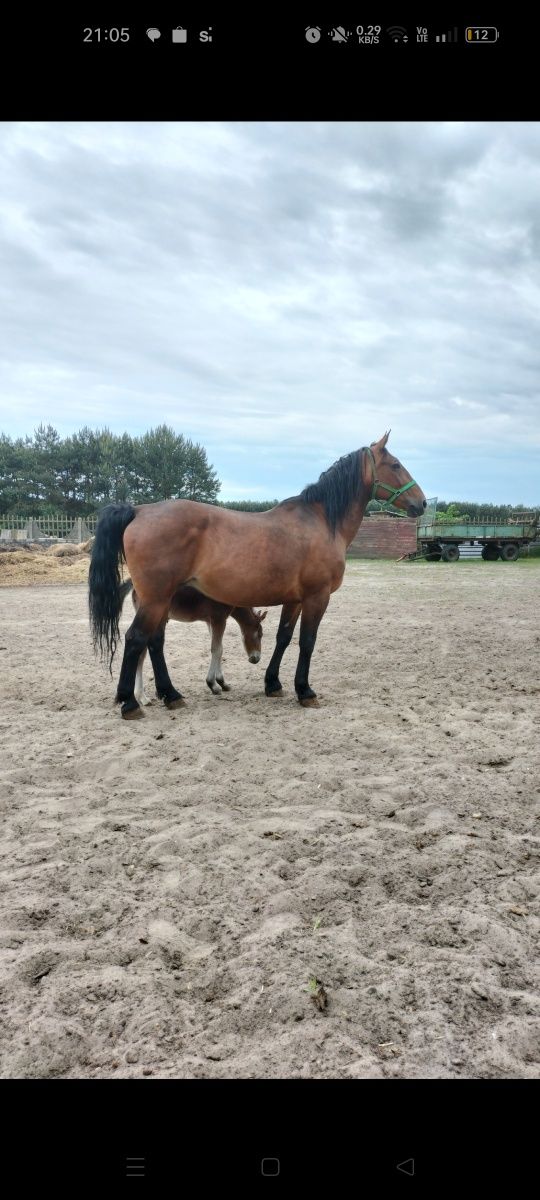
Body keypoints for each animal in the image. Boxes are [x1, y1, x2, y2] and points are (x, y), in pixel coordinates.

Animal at [120, 576, 267, 700]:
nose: (256, 658)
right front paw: (213, 685)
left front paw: (222, 683)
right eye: (260, 634)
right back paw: (142, 697)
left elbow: (218, 649)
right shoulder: (219, 619)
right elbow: (217, 650)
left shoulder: (210, 621)